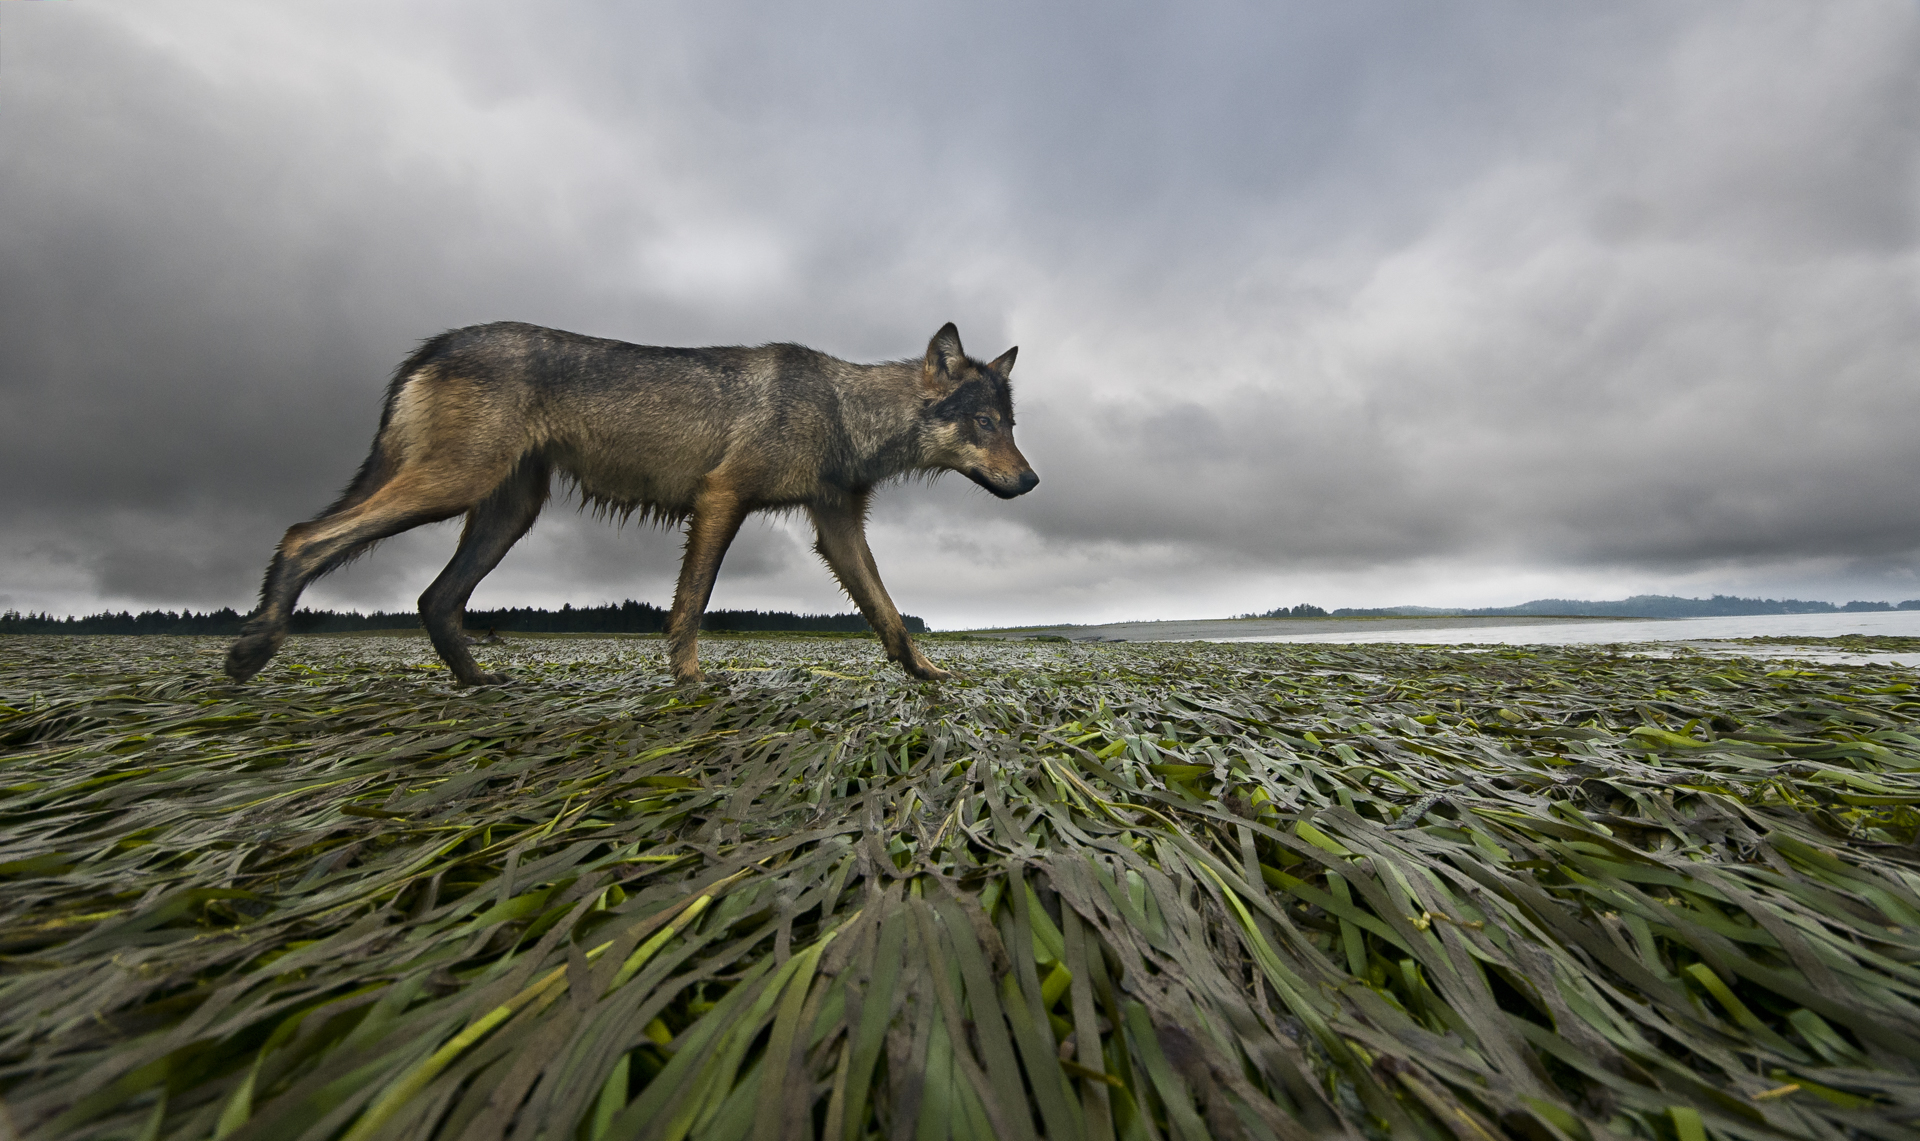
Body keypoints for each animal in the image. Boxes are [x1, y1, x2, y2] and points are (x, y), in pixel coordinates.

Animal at [220, 316, 1036, 683]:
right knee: (302, 536)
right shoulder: (721, 498)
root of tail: (437, 342)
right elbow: (692, 604)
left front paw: (929, 677)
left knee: (433, 598)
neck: (842, 410)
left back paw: (481, 683)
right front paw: (690, 681)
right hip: (452, 490)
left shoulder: (836, 529)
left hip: (505, 514)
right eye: (985, 424)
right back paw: (254, 646)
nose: (1031, 482)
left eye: (1012, 424)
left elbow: (888, 612)